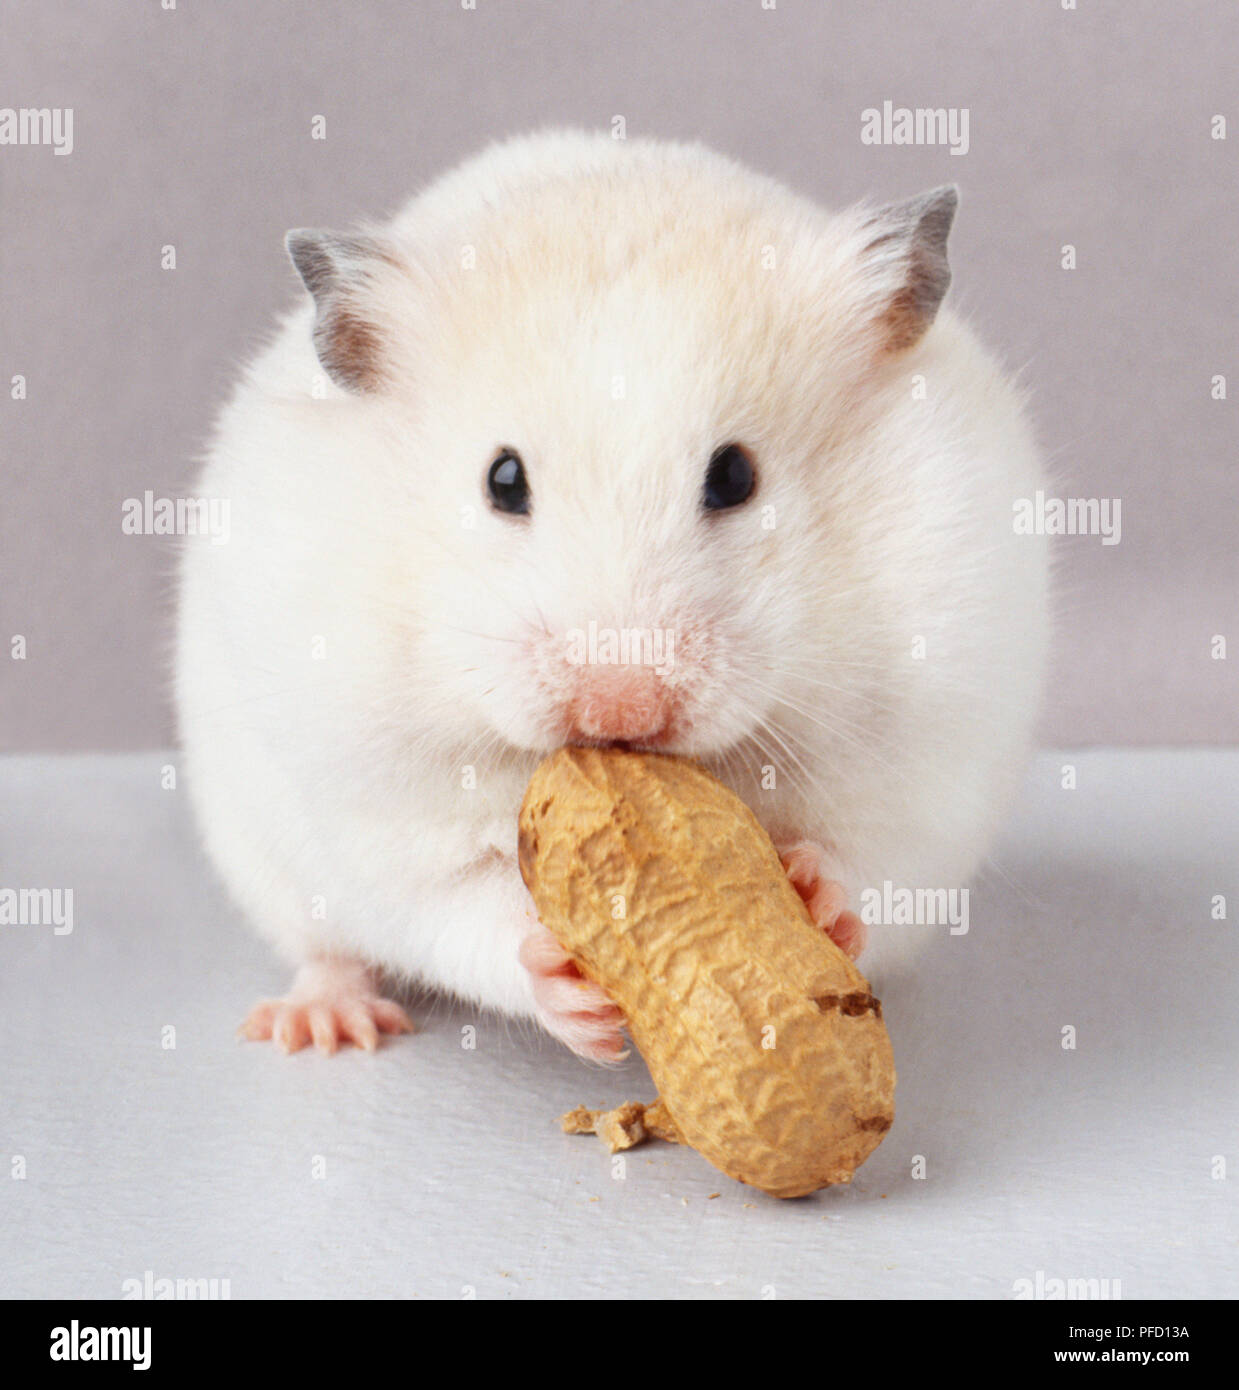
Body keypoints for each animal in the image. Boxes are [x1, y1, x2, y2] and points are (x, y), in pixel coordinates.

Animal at [175, 129, 1049, 1059]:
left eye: (734, 476)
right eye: (503, 480)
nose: (620, 710)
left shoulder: (921, 774)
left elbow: (865, 865)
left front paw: (814, 893)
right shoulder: (379, 817)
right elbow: (463, 907)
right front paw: (566, 987)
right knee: (327, 949)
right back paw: (321, 1027)